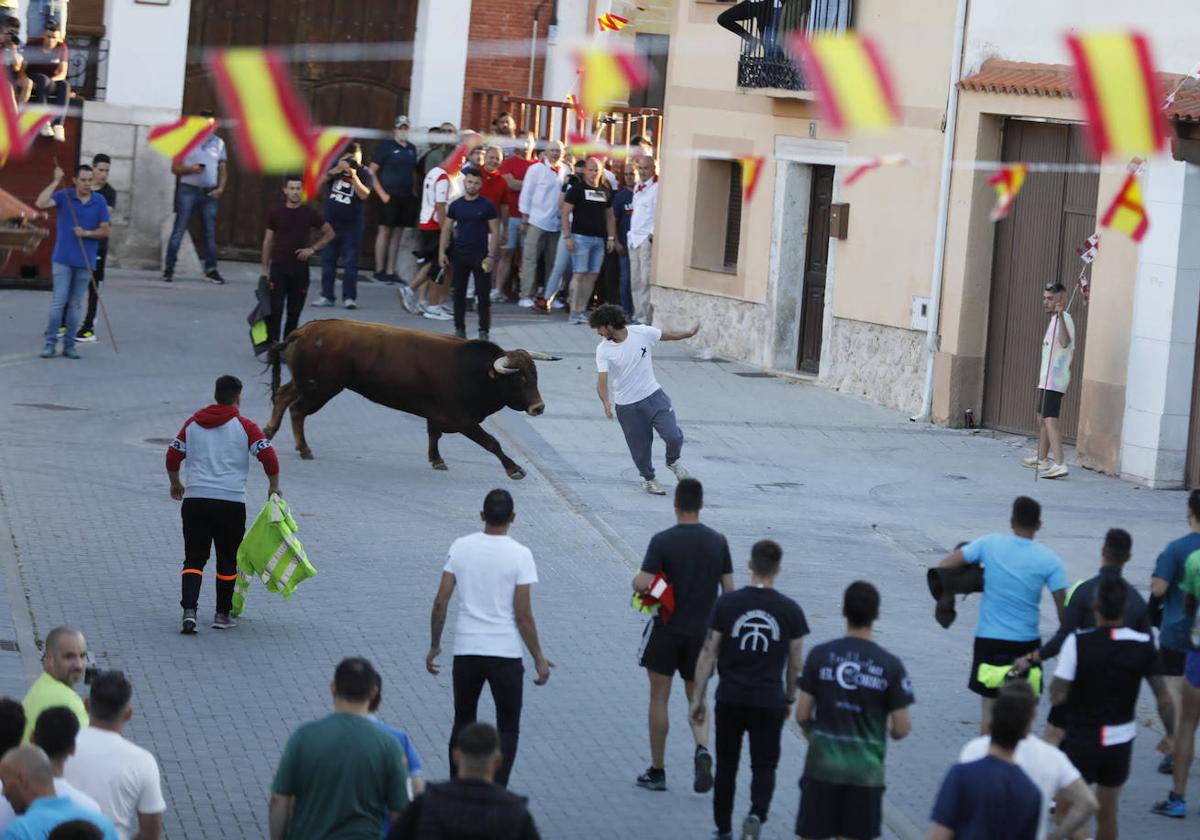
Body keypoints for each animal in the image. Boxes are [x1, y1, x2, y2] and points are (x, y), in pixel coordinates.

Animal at [261, 321, 556, 480]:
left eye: (535, 375)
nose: (538, 407)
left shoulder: (437, 415)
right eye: (518, 379)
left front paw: (436, 460)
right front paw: (514, 469)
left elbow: (433, 435)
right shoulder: (462, 419)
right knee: (297, 409)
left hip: (307, 383)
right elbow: (491, 442)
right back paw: (304, 448)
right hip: (321, 389)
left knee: (283, 395)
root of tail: (307, 330)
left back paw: (269, 431)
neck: (475, 371)